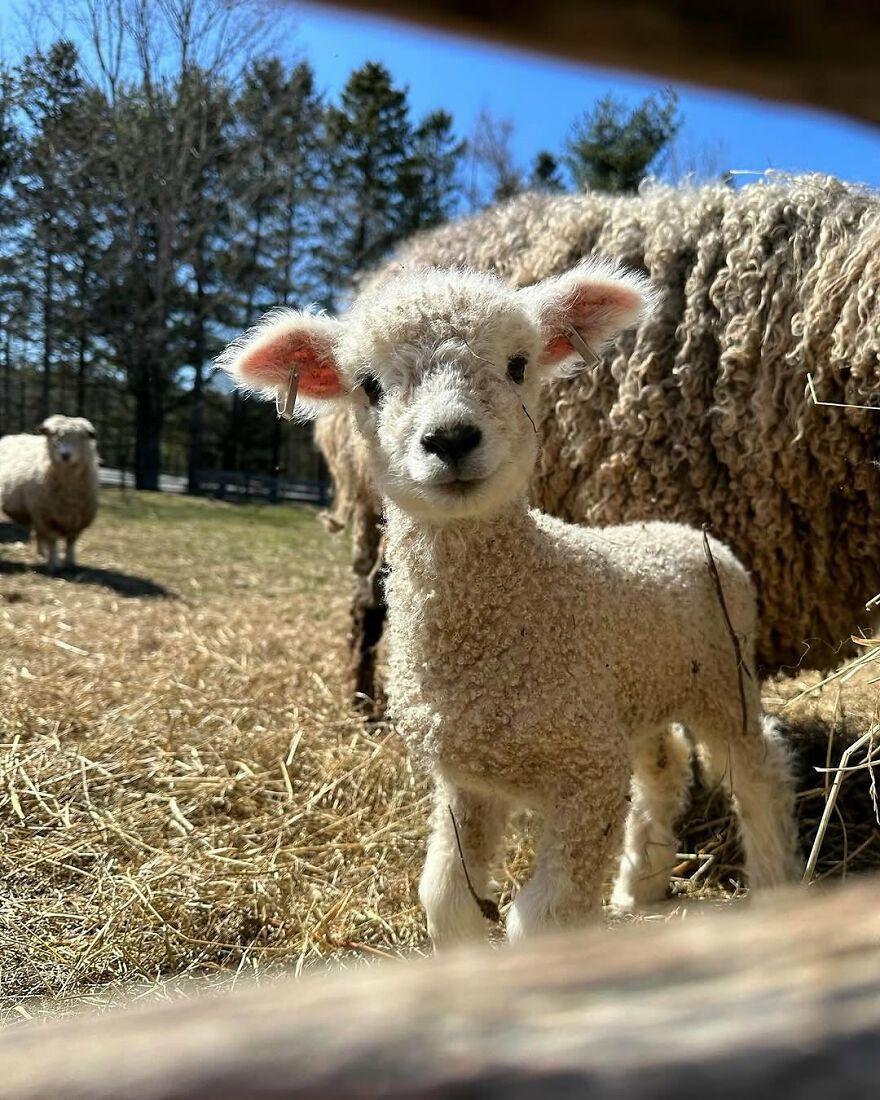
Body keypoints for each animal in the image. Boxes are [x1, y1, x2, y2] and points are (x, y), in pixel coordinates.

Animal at [0, 415, 99, 572]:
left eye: (81, 436)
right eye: (54, 436)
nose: (65, 455)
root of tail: (9, 437)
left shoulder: (78, 518)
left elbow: (71, 541)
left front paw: (70, 563)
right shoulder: (46, 517)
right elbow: (52, 540)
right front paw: (53, 565)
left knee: (39, 535)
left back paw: (42, 554)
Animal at [218, 262, 800, 944]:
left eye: (519, 364)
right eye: (368, 385)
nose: (449, 439)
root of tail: (689, 534)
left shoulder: (586, 779)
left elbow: (540, 919)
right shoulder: (469, 781)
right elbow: (445, 899)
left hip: (723, 679)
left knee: (759, 768)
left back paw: (775, 882)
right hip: (638, 690)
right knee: (665, 766)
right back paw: (640, 888)